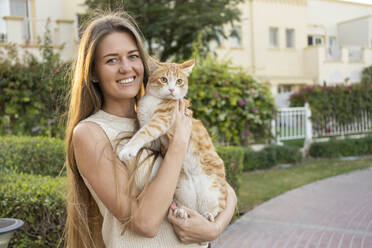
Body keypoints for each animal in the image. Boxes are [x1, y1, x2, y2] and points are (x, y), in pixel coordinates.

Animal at [119, 57, 227, 221]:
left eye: (179, 81)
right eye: (164, 79)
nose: (171, 90)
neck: (154, 100)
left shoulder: (162, 119)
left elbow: (144, 132)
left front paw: (128, 149)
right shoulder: (156, 140)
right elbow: (142, 133)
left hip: (214, 193)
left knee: (215, 212)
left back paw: (209, 215)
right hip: (183, 191)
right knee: (193, 209)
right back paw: (181, 211)